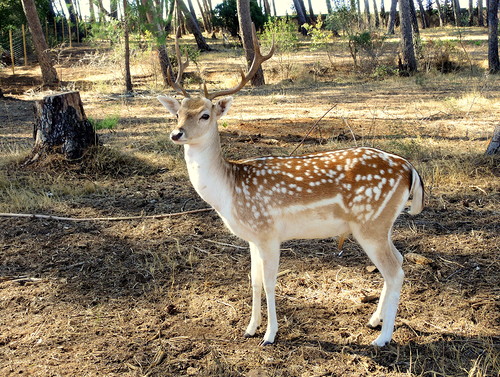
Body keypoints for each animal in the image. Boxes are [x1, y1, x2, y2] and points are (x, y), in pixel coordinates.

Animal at [156, 25, 422, 346]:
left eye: (205, 114)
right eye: (178, 113)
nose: (176, 133)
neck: (229, 191)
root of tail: (410, 169)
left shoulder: (269, 232)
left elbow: (270, 283)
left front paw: (269, 335)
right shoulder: (252, 237)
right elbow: (254, 281)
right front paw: (250, 327)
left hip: (371, 223)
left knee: (395, 270)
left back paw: (382, 338)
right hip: (383, 224)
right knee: (399, 260)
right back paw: (374, 321)